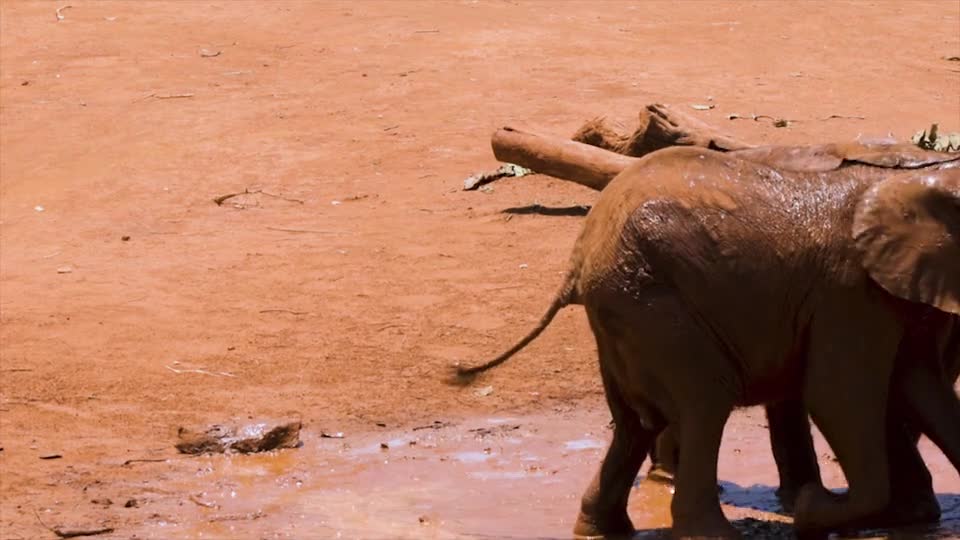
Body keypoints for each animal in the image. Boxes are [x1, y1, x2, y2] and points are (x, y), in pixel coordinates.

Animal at [454, 144, 960, 540]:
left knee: (636, 423)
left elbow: (920, 387)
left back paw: (600, 529)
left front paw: (904, 516)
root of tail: (578, 258)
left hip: (625, 311)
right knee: (704, 401)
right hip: (651, 300)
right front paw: (812, 510)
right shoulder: (849, 291)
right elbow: (838, 396)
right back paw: (714, 533)